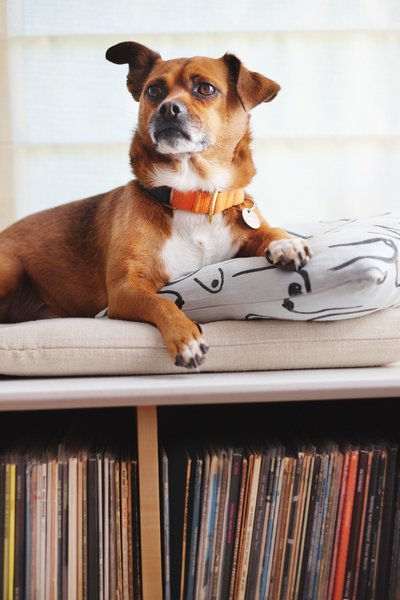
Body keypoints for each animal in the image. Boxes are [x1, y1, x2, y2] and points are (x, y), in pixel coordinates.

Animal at [0, 42, 312, 368]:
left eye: (205, 89)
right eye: (154, 91)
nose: (168, 108)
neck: (193, 194)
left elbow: (268, 232)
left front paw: (286, 243)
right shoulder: (125, 289)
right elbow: (163, 302)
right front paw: (186, 338)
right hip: (9, 269)